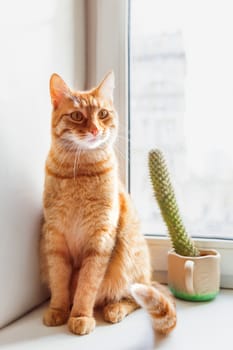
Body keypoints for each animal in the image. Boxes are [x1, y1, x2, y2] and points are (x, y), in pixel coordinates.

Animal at [39, 72, 177, 336]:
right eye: (77, 116)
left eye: (102, 114)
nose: (95, 129)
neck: (80, 171)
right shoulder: (55, 237)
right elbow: (59, 280)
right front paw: (58, 310)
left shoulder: (100, 238)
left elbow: (87, 285)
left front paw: (80, 316)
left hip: (129, 258)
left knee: (134, 296)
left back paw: (115, 309)